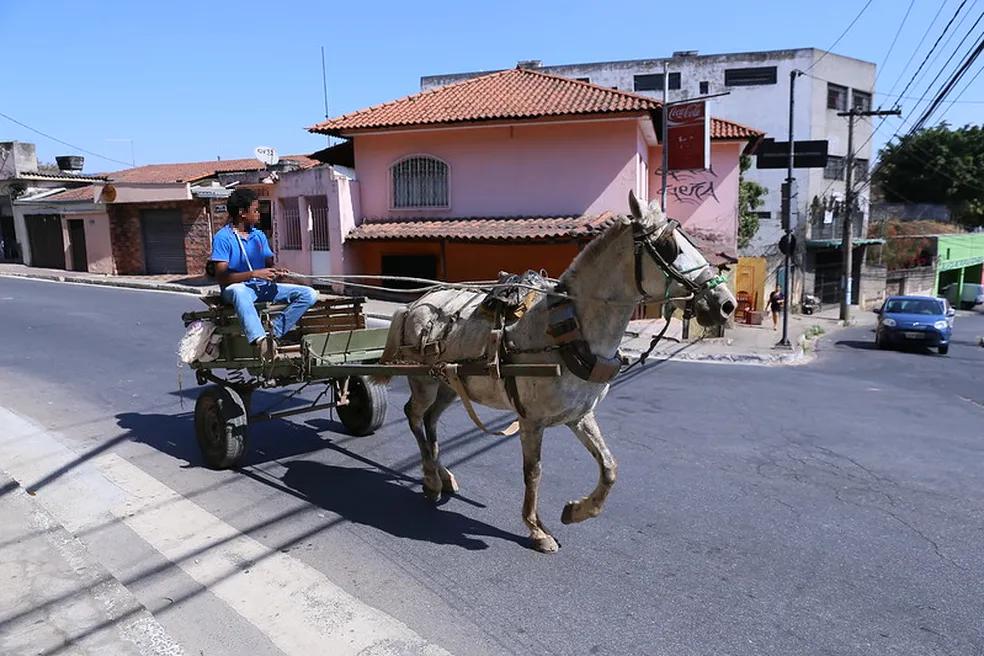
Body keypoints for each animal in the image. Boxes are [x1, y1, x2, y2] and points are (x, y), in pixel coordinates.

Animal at [372, 191, 736, 552]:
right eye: (668, 246)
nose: (725, 304)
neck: (568, 329)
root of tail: (414, 304)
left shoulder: (580, 415)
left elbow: (609, 468)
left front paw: (577, 511)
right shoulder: (531, 419)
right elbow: (533, 471)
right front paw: (536, 529)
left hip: (449, 383)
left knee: (431, 420)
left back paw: (442, 475)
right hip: (423, 380)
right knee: (414, 414)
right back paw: (431, 480)